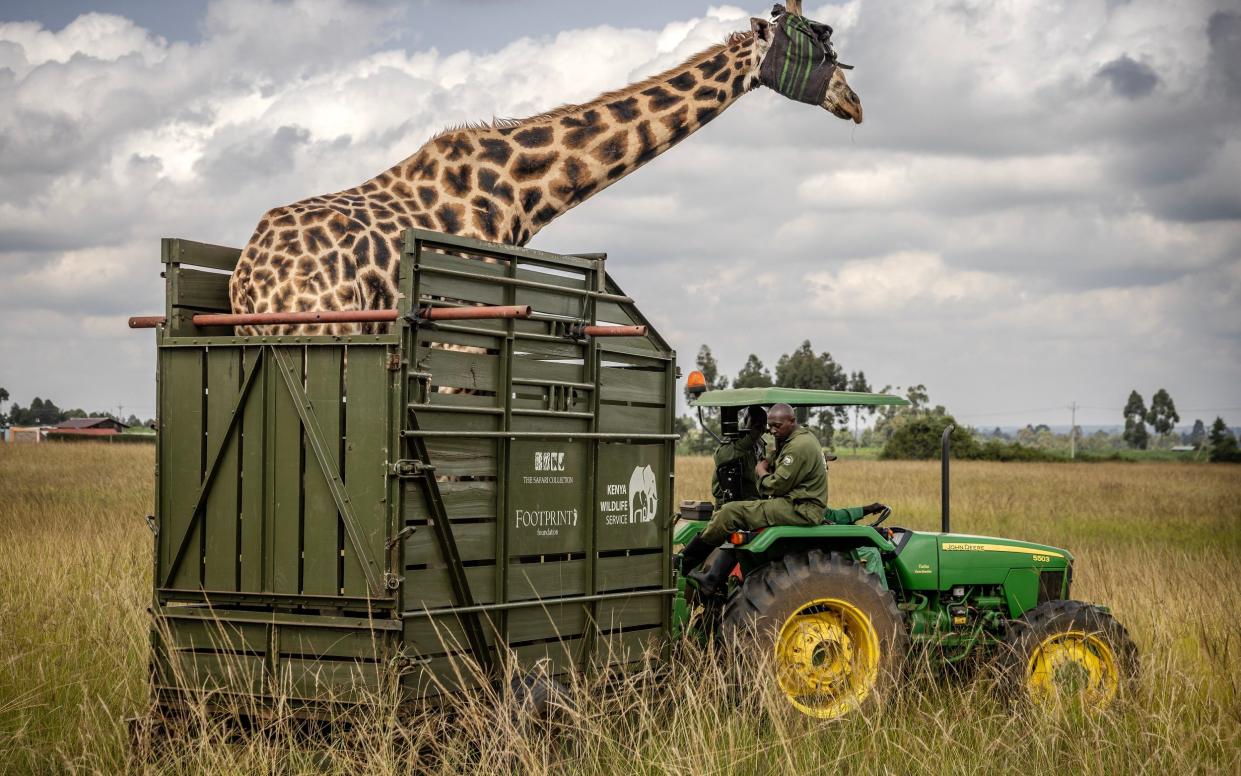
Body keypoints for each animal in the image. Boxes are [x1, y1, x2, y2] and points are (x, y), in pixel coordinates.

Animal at [228, 3, 858, 335]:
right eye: (816, 40)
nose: (855, 103)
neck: (520, 192)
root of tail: (247, 281)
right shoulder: (464, 334)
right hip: (321, 327)